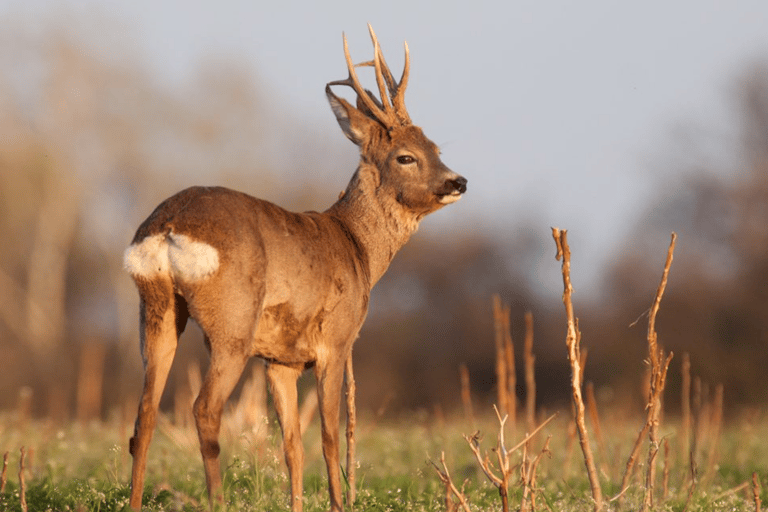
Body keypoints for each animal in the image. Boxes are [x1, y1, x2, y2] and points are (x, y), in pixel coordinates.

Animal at [124, 25, 468, 512]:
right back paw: (216, 500)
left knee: (144, 416)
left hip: (156, 309)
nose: (458, 182)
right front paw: (340, 503)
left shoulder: (279, 359)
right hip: (232, 324)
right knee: (204, 410)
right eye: (406, 156)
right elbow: (328, 437)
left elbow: (291, 444)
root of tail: (167, 225)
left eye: (435, 148)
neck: (357, 247)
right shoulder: (336, 340)